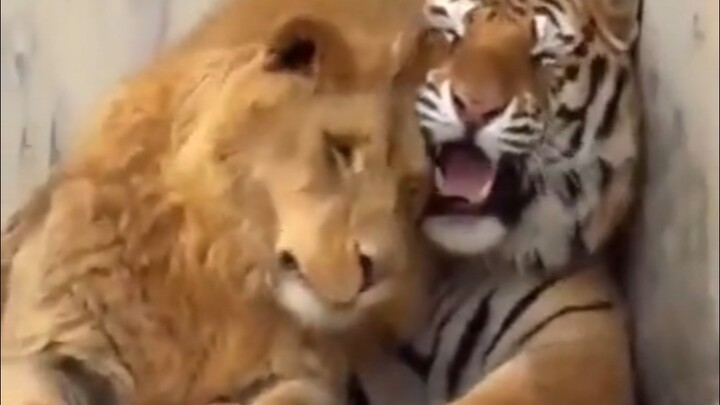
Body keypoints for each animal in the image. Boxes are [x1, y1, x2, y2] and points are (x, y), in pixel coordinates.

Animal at [0, 1, 439, 404]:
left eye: (410, 189)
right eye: (341, 150)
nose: (379, 270)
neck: (215, 266)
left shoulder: (293, 377)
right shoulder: (54, 347)